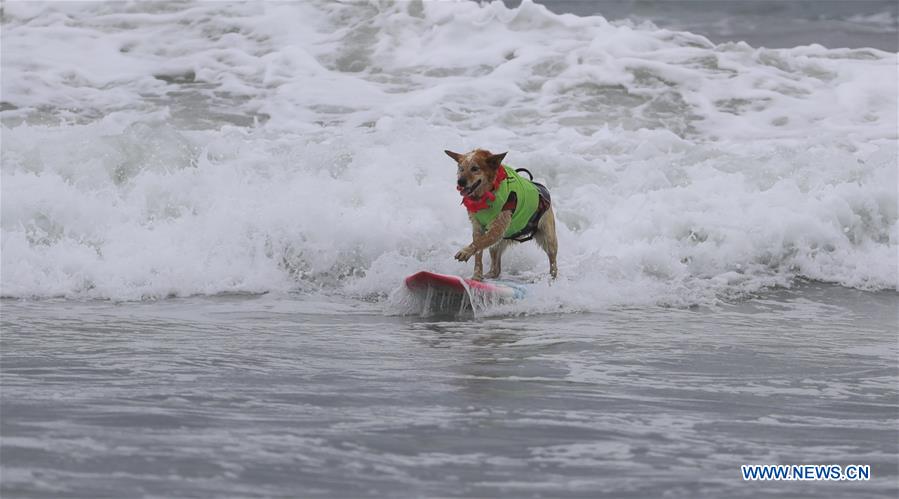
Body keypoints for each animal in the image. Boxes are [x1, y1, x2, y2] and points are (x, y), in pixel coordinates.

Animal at [446, 148, 560, 282]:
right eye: (461, 168)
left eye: (475, 168)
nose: (460, 182)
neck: (487, 193)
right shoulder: (478, 227)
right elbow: (478, 252)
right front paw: (476, 276)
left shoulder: (497, 228)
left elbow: (479, 243)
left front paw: (465, 252)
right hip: (498, 244)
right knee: (496, 269)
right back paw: (489, 275)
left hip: (548, 238)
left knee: (553, 261)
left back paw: (552, 278)